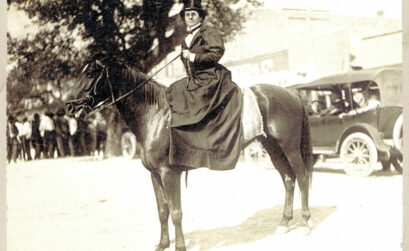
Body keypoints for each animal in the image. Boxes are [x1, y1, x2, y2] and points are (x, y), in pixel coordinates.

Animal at [67, 56, 312, 251]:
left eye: (91, 74)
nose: (69, 106)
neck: (155, 116)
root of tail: (291, 93)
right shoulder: (154, 175)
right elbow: (163, 210)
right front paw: (162, 244)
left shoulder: (169, 173)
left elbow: (176, 212)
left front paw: (180, 246)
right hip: (273, 148)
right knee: (289, 180)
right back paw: (284, 223)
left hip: (290, 148)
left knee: (301, 178)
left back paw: (306, 222)